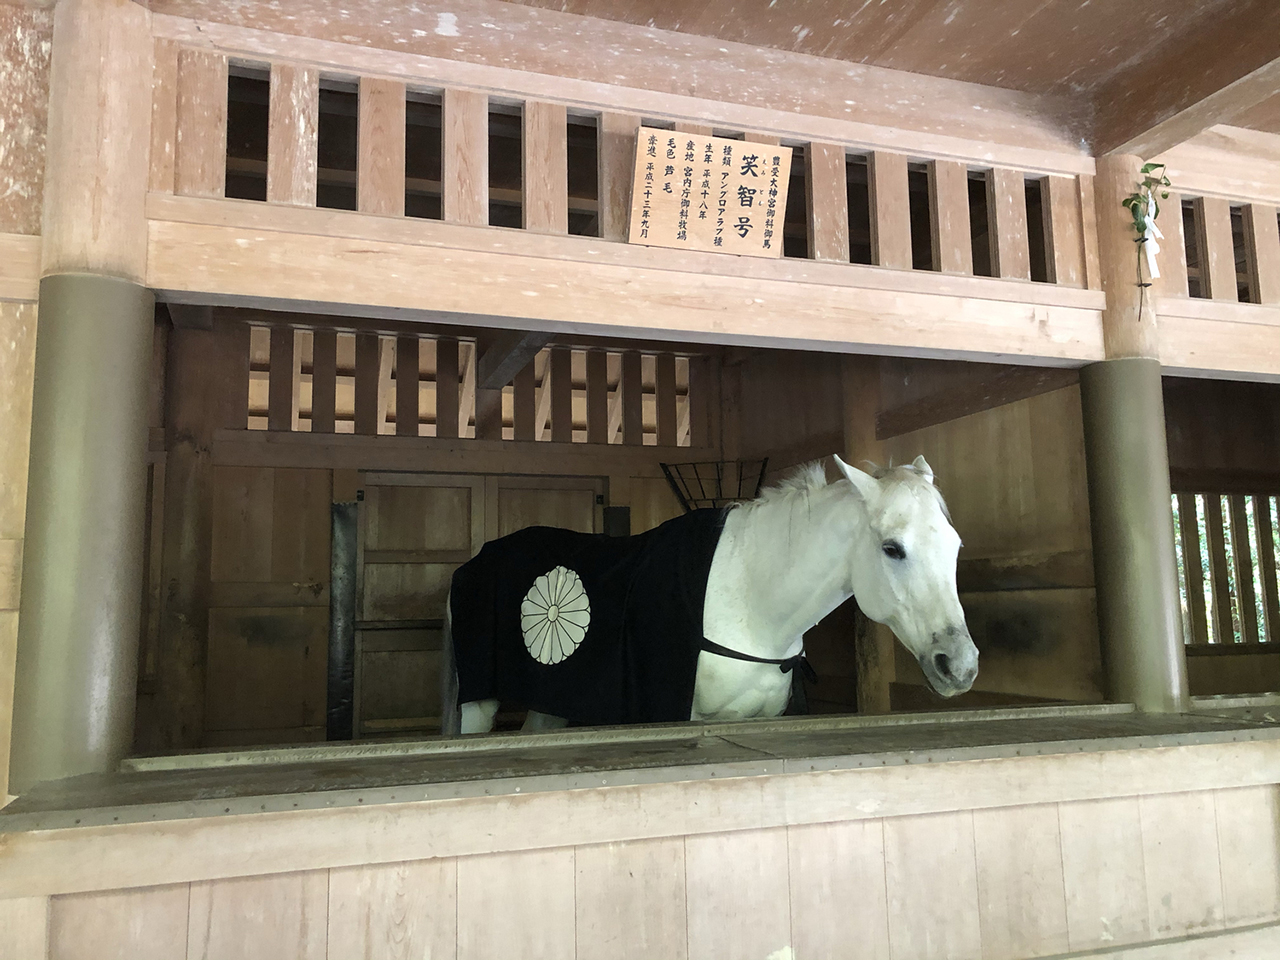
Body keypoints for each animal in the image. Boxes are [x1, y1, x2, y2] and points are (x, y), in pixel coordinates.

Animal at [440, 454, 978, 734]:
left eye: (955, 546)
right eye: (892, 548)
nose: (960, 665)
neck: (751, 602)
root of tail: (474, 562)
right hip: (478, 704)